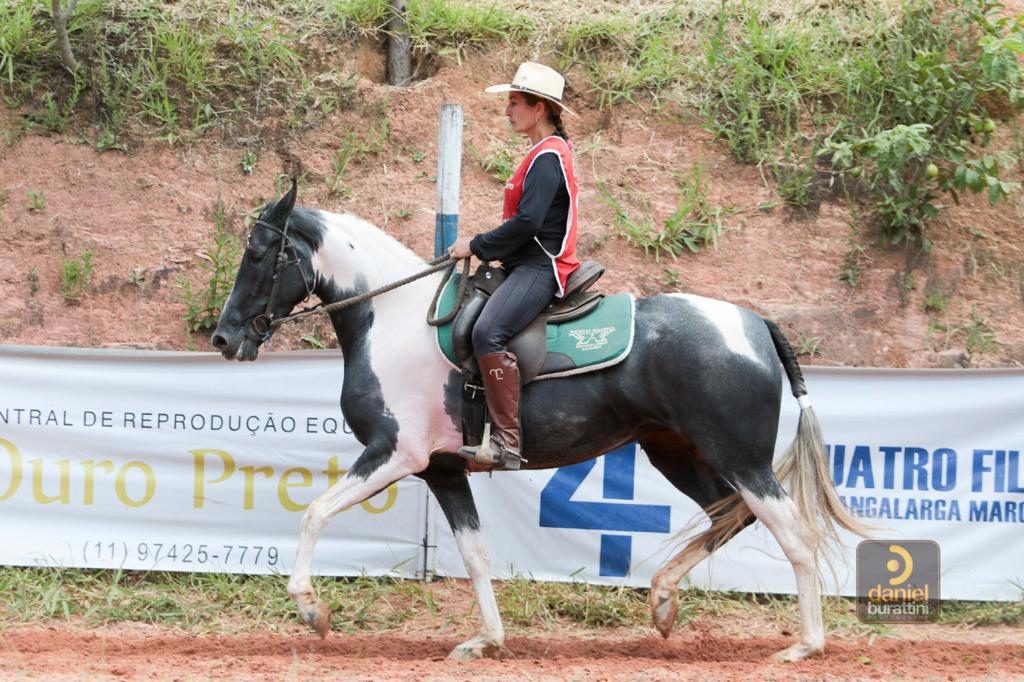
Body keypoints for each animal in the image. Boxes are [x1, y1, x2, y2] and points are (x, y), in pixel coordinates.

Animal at [214, 179, 864, 659]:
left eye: (257, 253)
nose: (223, 338)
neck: (392, 318)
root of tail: (754, 323)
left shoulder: (394, 454)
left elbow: (315, 513)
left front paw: (310, 607)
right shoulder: (443, 471)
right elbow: (475, 555)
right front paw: (486, 640)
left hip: (743, 460)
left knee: (795, 537)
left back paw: (804, 647)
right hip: (676, 453)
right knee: (727, 519)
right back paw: (661, 601)